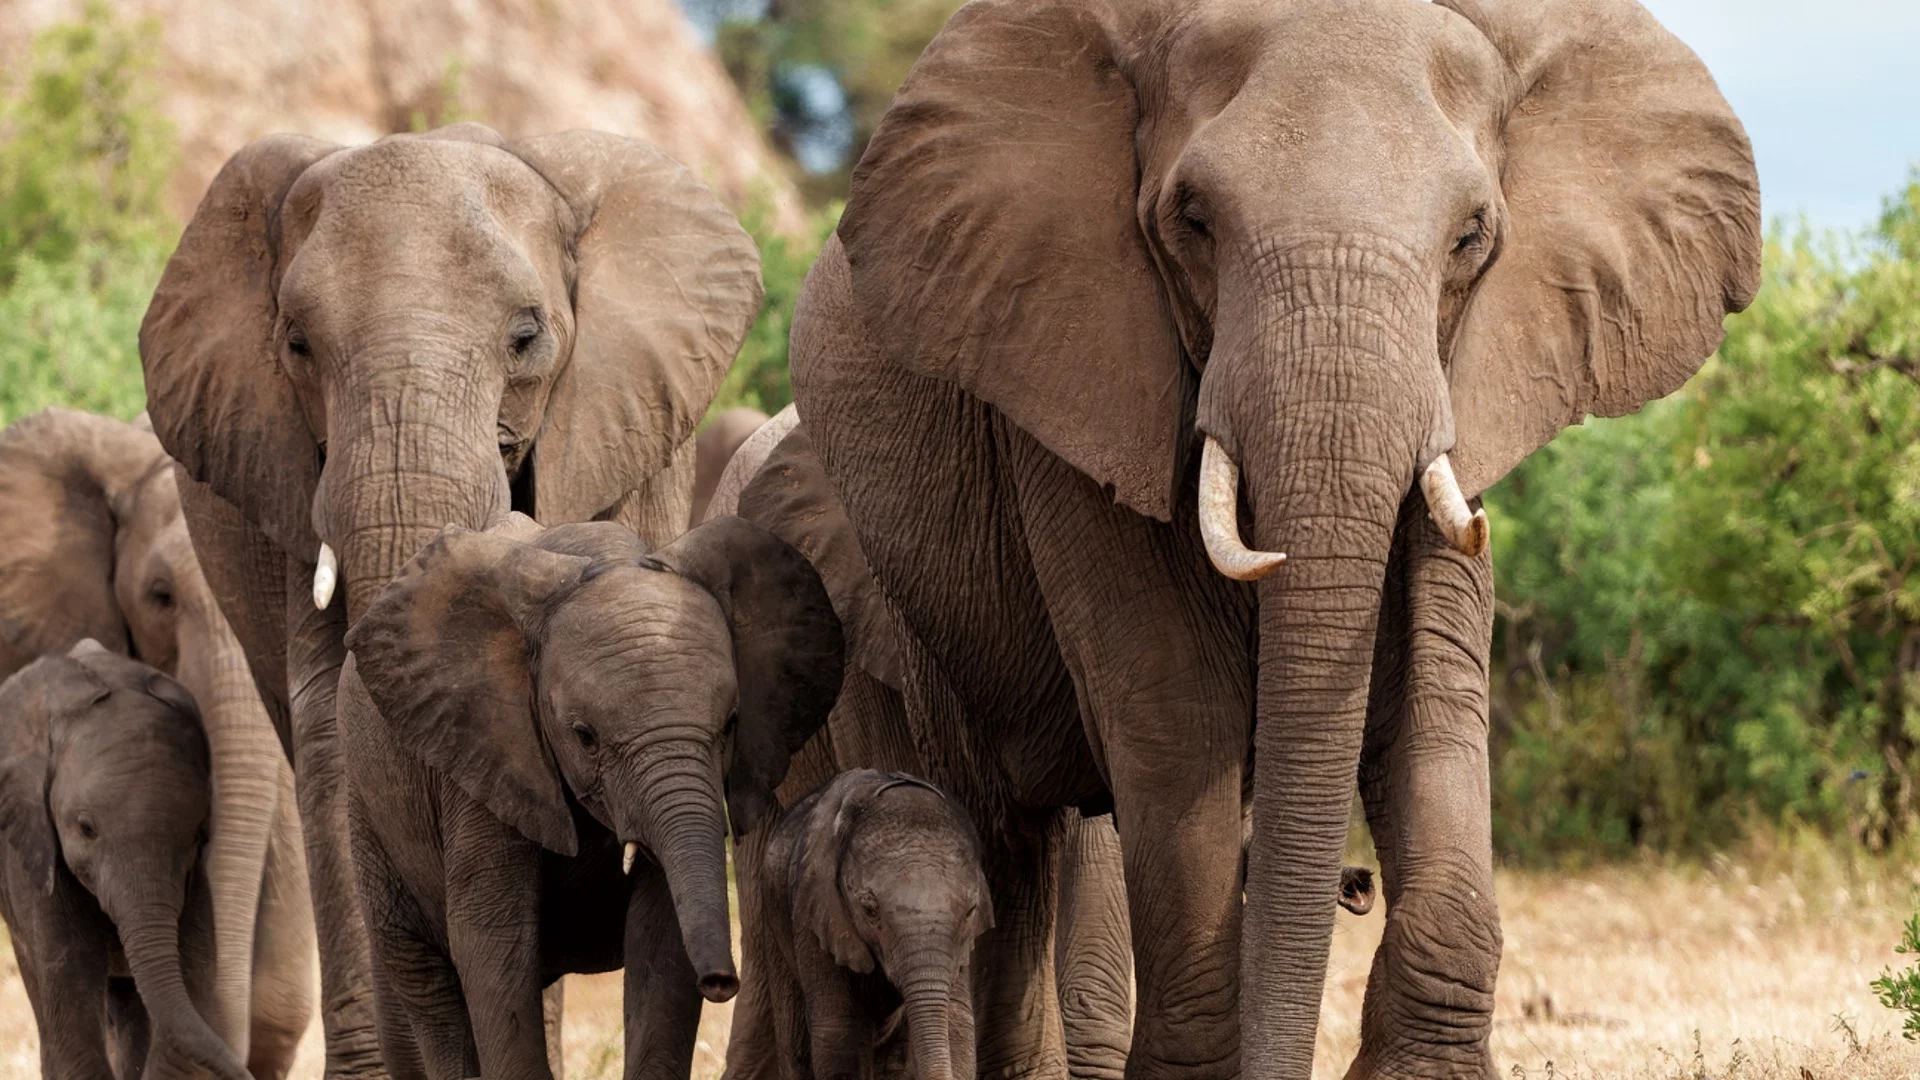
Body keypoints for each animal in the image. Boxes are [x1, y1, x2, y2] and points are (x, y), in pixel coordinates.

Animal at [0, 638, 259, 1076]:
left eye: (198, 834)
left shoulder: (194, 884)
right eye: (86, 828)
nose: (247, 1072)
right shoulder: (36, 861)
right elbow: (74, 1038)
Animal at [787, 2, 1758, 1076]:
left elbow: (1431, 696)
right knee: (1000, 838)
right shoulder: (1073, 371)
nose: (1355, 886)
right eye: (1193, 221)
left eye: (1472, 235)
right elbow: (1174, 707)